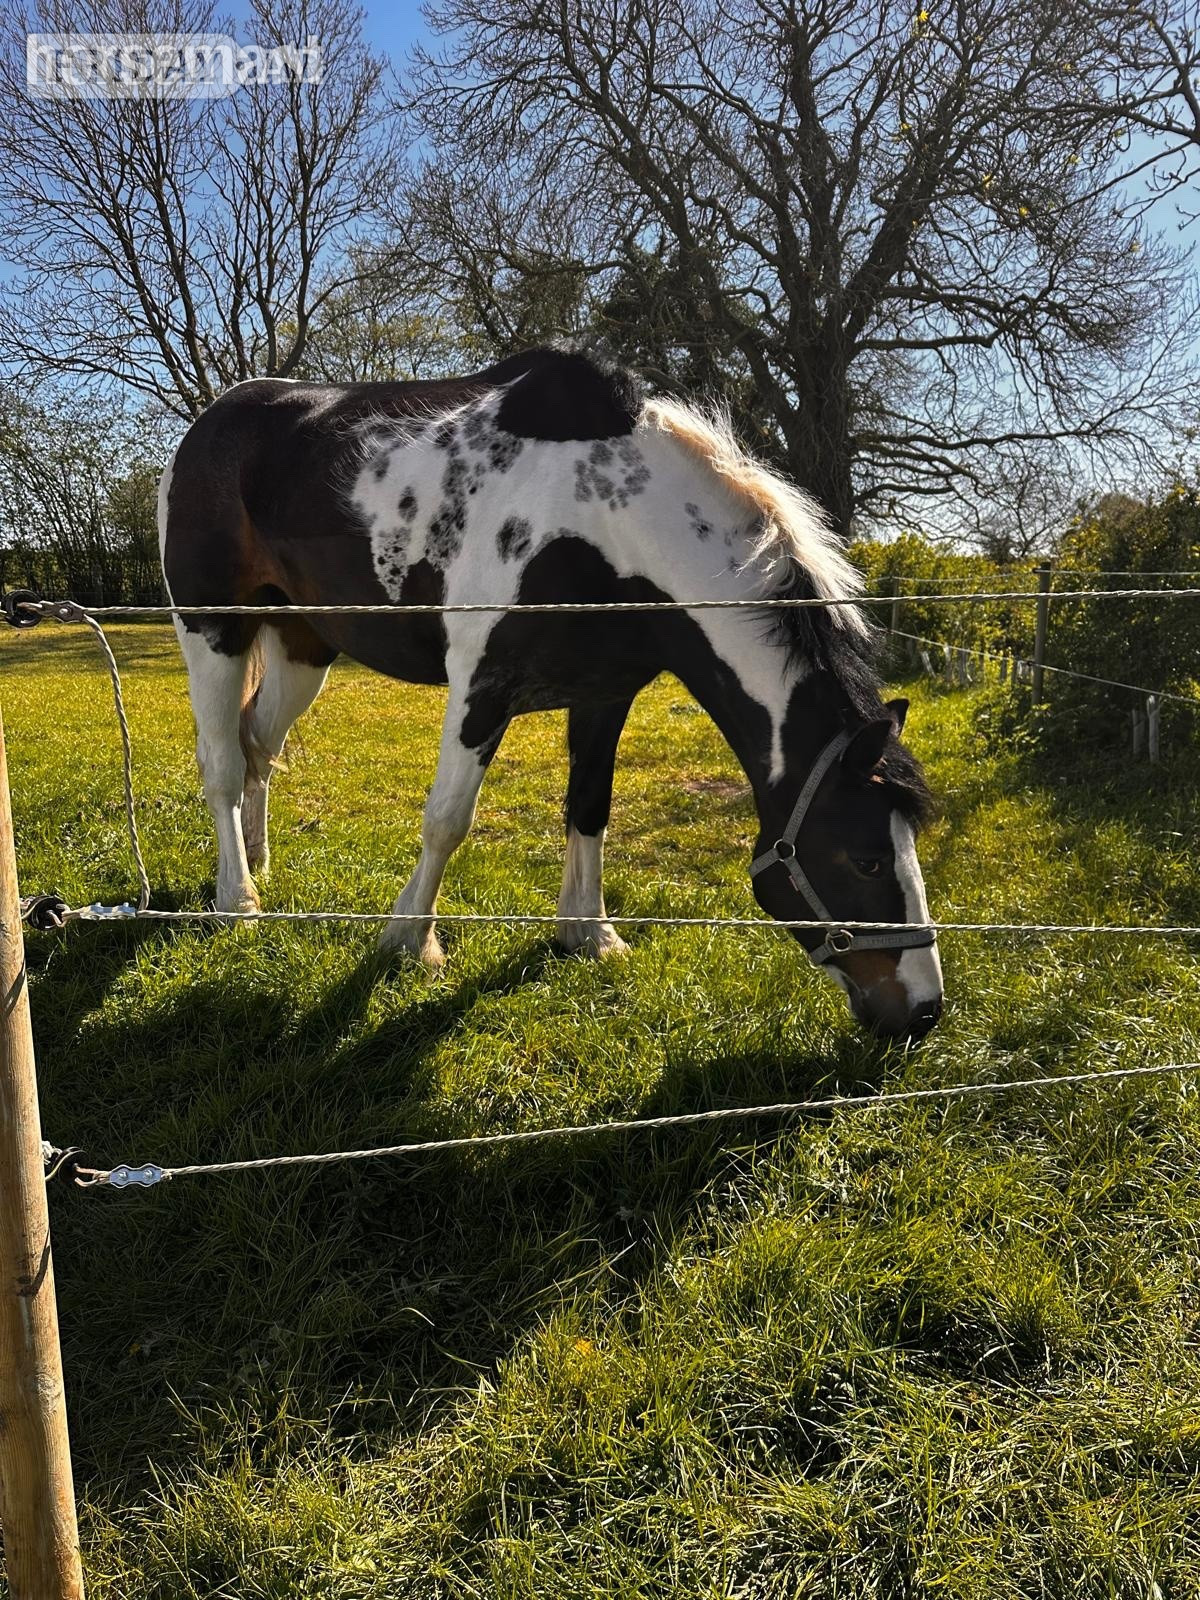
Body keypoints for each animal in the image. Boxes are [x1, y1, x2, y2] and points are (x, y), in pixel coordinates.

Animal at [158, 346, 943, 1040]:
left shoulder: (604, 694)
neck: (605, 524)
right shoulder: (482, 684)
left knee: (258, 745)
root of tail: (210, 425)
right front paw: (411, 940)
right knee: (221, 764)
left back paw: (257, 860)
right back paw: (238, 901)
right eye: (866, 858)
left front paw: (588, 933)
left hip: (304, 644)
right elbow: (447, 820)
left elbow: (590, 807)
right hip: (213, 628)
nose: (923, 1013)